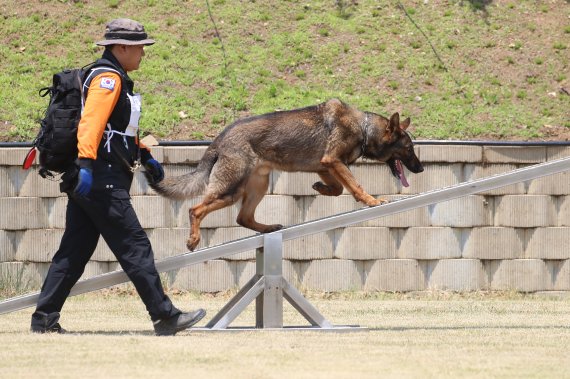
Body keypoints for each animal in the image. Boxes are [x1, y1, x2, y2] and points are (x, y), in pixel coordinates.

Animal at [146, 99, 422, 251]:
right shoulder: (333, 161)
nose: (420, 169)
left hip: (258, 186)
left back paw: (268, 228)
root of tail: (219, 139)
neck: (363, 128)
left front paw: (321, 188)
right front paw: (372, 201)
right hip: (230, 190)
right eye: (409, 148)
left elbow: (339, 188)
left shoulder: (325, 166)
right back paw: (193, 239)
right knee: (196, 210)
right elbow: (355, 185)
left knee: (243, 218)